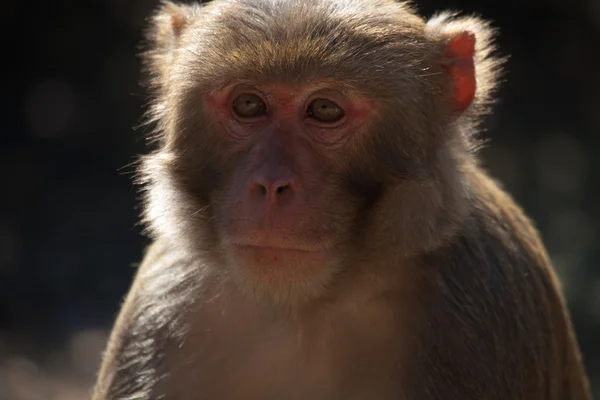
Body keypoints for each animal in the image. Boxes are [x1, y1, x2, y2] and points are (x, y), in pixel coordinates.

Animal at [92, 0, 592, 398]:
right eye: (249, 105)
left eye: (325, 110)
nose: (271, 186)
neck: (307, 305)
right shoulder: (166, 299)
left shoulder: (479, 301)